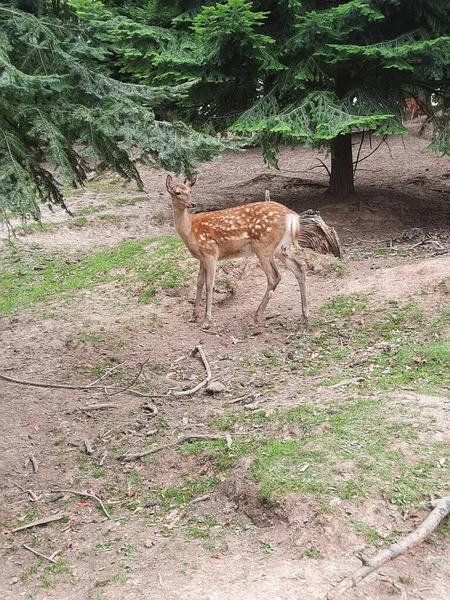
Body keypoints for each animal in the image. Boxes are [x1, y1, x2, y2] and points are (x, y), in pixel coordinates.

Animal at [166, 175, 342, 328]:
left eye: (190, 190)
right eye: (178, 192)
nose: (193, 203)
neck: (189, 230)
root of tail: (292, 217)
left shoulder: (210, 251)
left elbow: (210, 284)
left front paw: (207, 321)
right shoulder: (202, 257)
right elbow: (199, 282)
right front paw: (193, 316)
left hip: (263, 246)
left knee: (275, 276)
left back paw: (256, 316)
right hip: (282, 247)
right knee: (299, 268)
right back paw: (304, 316)